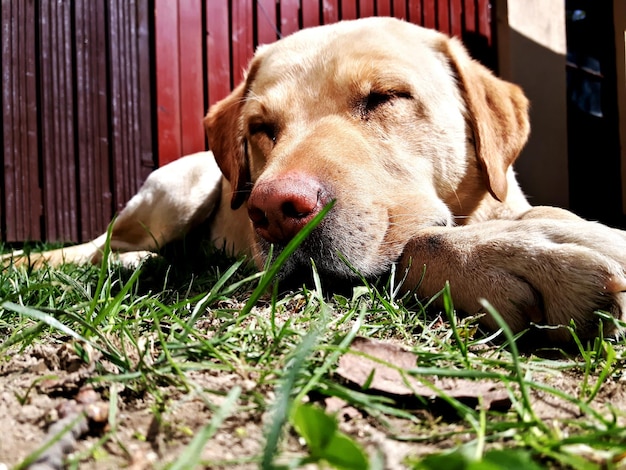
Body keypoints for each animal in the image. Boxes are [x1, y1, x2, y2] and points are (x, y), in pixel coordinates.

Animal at [4, 17, 624, 342]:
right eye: (261, 127)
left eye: (386, 97)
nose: (274, 210)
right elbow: (418, 243)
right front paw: (525, 252)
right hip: (177, 193)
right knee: (100, 248)